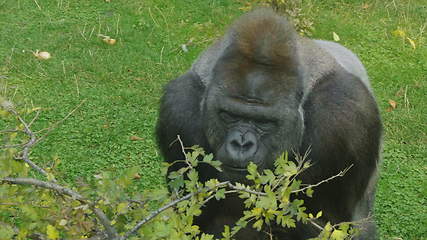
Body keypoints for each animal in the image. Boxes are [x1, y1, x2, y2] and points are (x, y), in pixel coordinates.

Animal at [155, 8, 382, 240]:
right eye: (229, 115)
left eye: (264, 122)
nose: (241, 144)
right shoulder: (179, 109)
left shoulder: (343, 118)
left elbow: (329, 225)